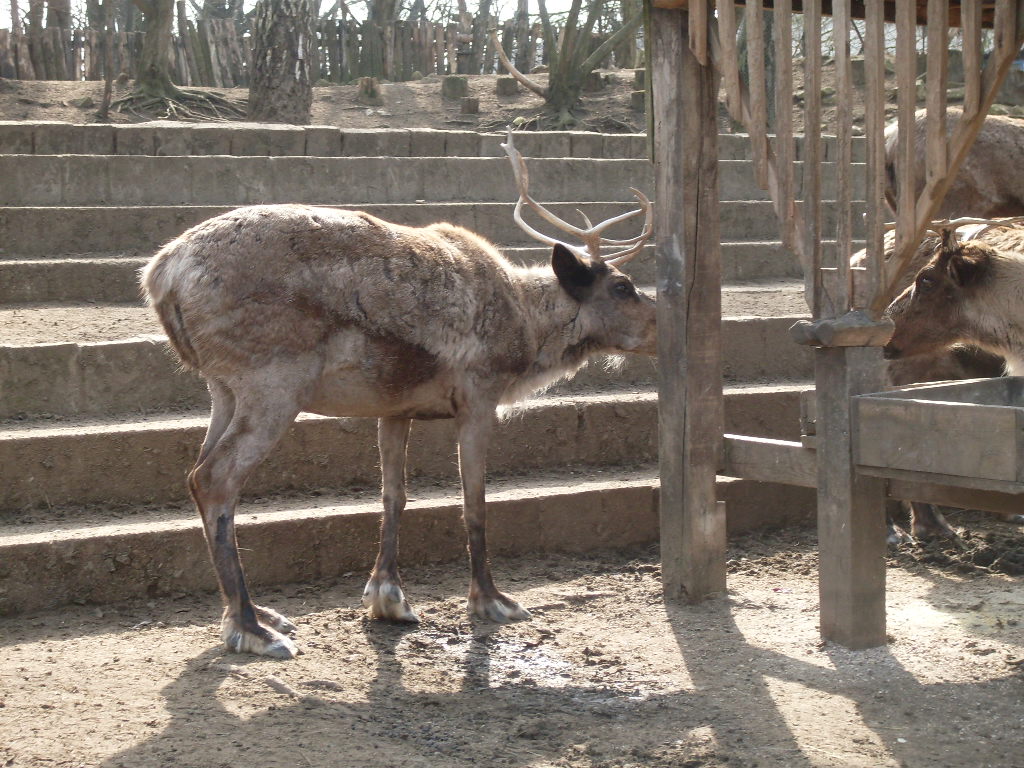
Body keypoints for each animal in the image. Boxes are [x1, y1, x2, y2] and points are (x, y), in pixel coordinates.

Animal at [140, 131, 656, 659]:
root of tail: (160, 273)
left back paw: (255, 614)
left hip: (222, 389)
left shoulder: (394, 407)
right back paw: (250, 627)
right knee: (214, 478)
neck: (527, 333)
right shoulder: (478, 396)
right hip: (272, 383)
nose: (661, 326)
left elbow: (394, 496)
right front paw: (490, 600)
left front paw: (387, 596)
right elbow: (474, 500)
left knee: (195, 475)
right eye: (622, 287)